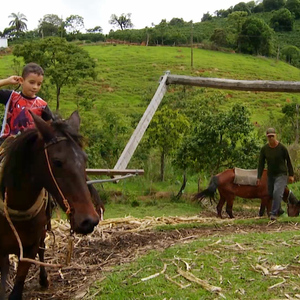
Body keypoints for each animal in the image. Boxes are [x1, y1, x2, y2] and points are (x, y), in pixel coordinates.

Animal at [0, 111, 101, 298]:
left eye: (84, 159)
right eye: (57, 161)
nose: (89, 220)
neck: (16, 203)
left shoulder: (30, 247)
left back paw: (43, 279)